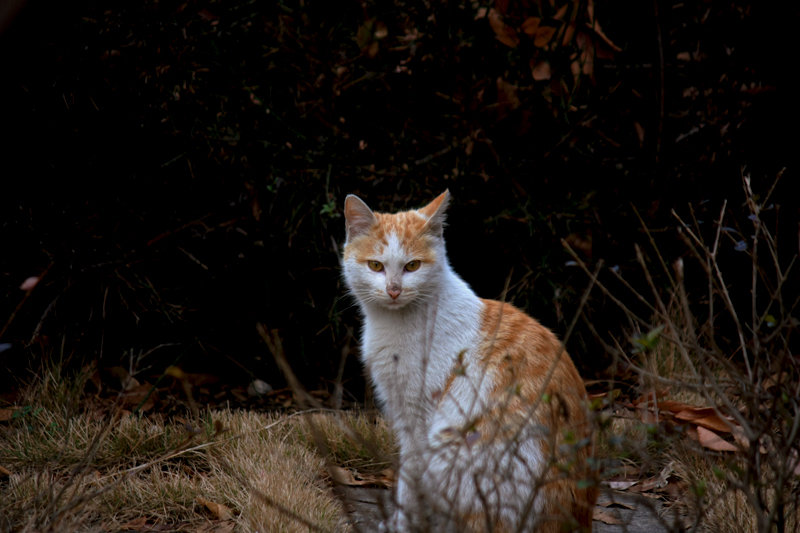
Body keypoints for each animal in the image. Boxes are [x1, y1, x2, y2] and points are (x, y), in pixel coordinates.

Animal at [340, 191, 596, 532]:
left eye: (412, 266)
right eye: (376, 265)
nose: (394, 290)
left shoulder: (418, 421)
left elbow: (408, 484)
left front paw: (400, 525)